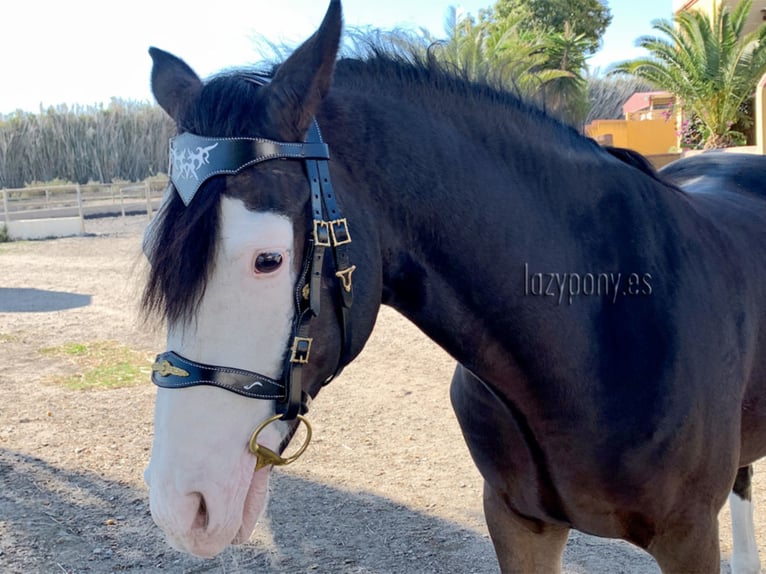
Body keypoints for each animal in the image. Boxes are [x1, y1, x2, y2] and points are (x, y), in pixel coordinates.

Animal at [141, 2, 766, 572]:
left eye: (267, 260)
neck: (597, 336)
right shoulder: (519, 523)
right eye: (153, 254)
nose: (181, 507)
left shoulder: (687, 537)